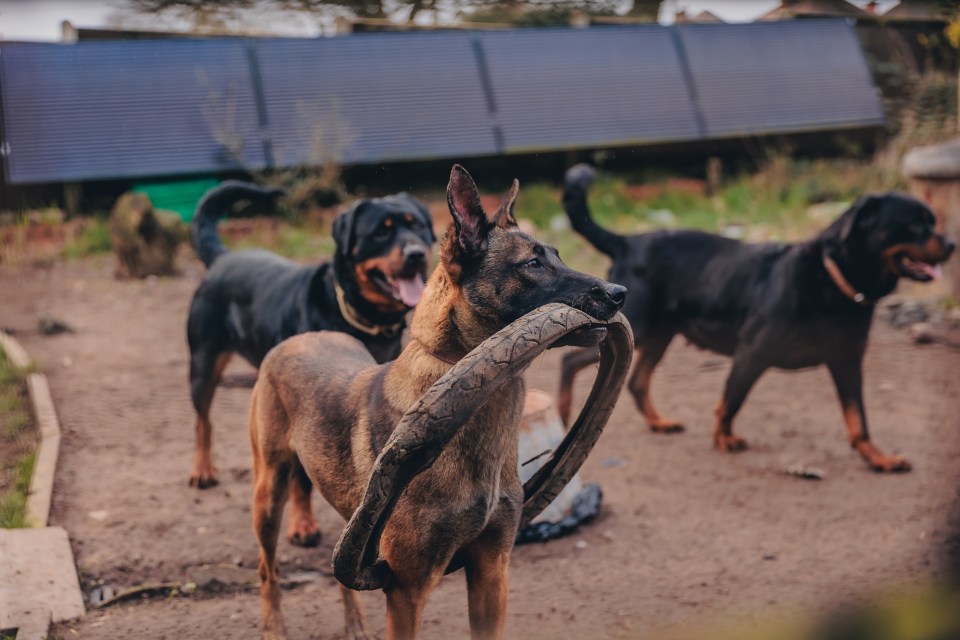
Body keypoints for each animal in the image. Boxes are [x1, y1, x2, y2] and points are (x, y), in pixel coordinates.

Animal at [244, 166, 628, 640]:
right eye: (532, 263)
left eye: (556, 255)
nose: (619, 292)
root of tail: (301, 337)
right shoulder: (407, 589)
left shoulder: (491, 571)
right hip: (269, 494)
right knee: (268, 568)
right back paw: (274, 625)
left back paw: (354, 622)